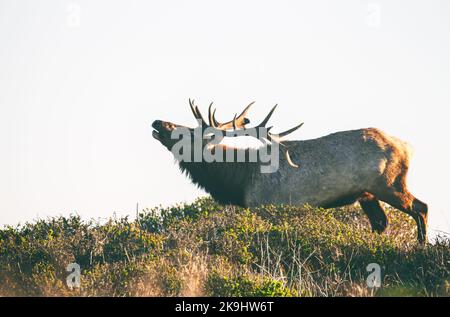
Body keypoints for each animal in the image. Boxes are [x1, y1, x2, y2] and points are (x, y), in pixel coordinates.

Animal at [152, 100, 428, 243]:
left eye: (188, 133)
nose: (157, 122)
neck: (240, 178)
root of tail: (407, 146)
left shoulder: (268, 206)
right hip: (367, 194)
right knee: (381, 222)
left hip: (389, 183)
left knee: (421, 207)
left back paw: (421, 246)